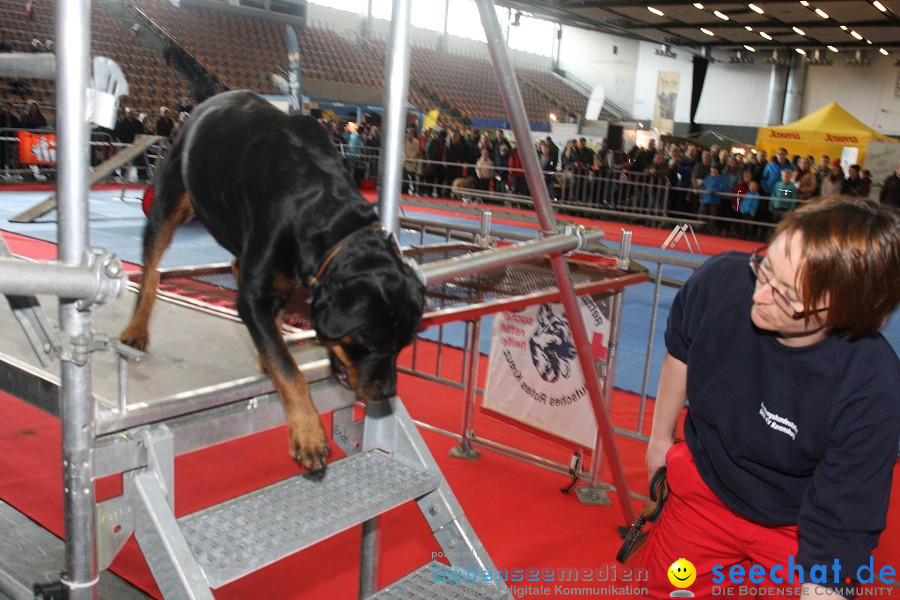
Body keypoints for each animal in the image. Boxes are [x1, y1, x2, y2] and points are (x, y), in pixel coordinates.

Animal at [119, 90, 426, 474]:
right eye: (370, 344)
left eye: (403, 346)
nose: (387, 393)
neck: (328, 219)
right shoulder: (254, 294)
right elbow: (289, 369)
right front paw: (308, 435)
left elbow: (277, 336)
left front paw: (271, 347)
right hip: (169, 202)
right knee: (152, 269)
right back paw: (137, 328)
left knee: (235, 263)